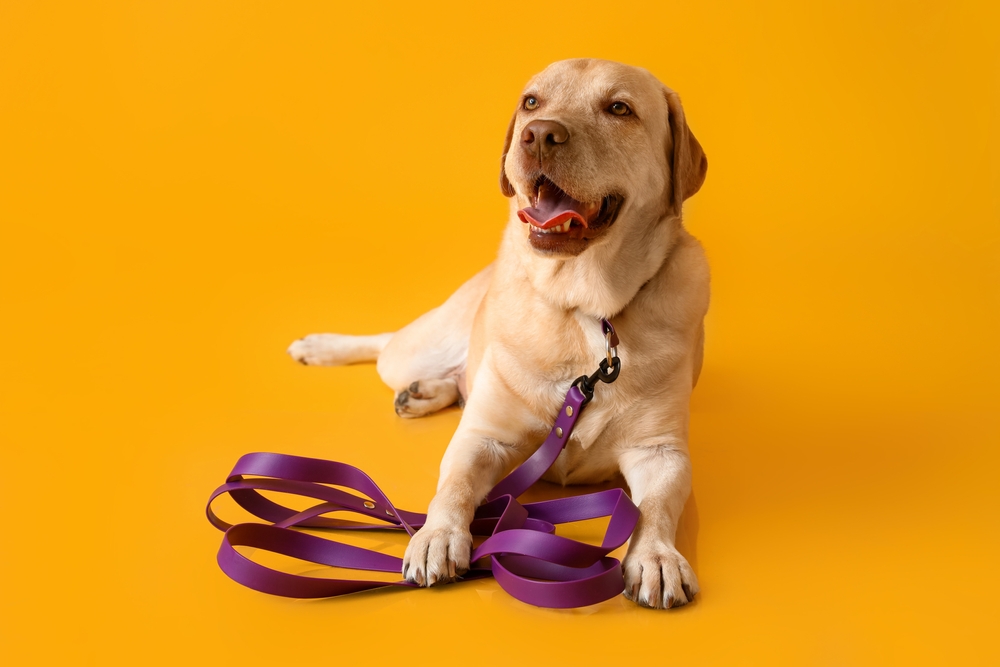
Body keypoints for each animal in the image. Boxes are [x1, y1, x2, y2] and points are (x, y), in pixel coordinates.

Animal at [288, 58, 712, 612]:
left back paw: (423, 393)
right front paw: (437, 535)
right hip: (417, 348)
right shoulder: (482, 438)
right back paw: (325, 348)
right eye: (532, 102)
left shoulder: (661, 453)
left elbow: (658, 508)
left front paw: (657, 556)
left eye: (620, 108)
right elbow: (454, 485)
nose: (539, 135)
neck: (585, 309)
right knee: (387, 346)